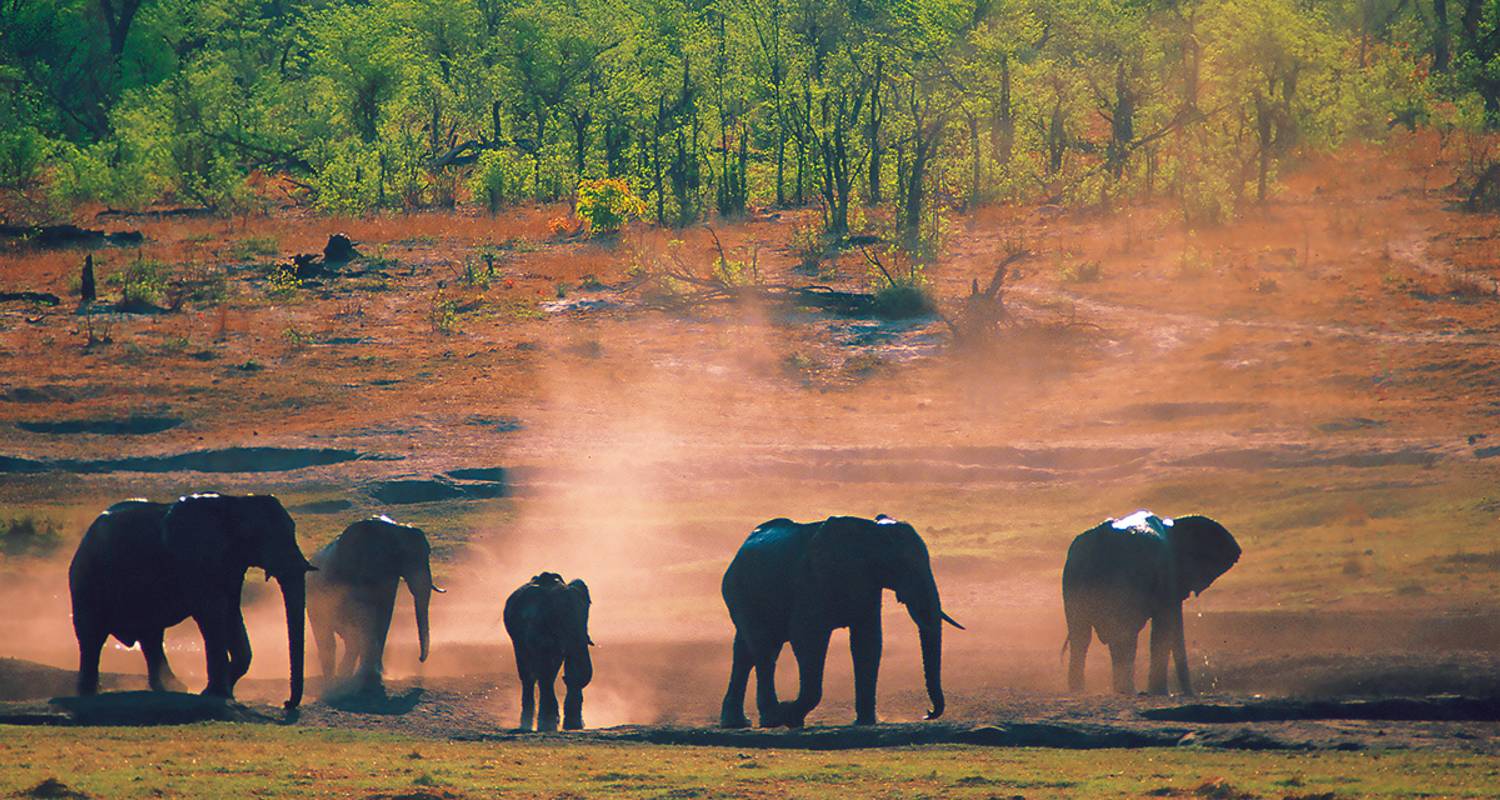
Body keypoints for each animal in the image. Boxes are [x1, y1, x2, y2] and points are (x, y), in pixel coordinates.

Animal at [69, 492, 315, 705]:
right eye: (258, 535)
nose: (286, 703)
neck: (234, 505)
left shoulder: (231, 566)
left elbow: (232, 612)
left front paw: (222, 689)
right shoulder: (194, 562)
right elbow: (212, 612)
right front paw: (216, 693)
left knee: (151, 637)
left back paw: (173, 688)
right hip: (85, 580)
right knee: (92, 636)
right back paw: (90, 692)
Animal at [306, 513, 441, 690]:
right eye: (400, 555)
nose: (419, 660)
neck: (392, 530)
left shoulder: (388, 579)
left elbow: (384, 616)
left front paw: (377, 675)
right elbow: (366, 616)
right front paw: (369, 676)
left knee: (350, 639)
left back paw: (344, 674)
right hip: (314, 600)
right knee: (327, 638)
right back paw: (332, 680)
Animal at [507, 570, 594, 732]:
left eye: (587, 606)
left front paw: (573, 725)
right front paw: (550, 723)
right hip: (519, 640)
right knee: (530, 674)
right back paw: (531, 723)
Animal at [714, 513, 960, 726]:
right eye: (901, 564)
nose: (927, 713)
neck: (869, 531)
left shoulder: (868, 584)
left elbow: (868, 642)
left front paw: (864, 723)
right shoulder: (811, 581)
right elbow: (807, 639)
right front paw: (789, 715)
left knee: (746, 653)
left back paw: (740, 722)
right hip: (740, 593)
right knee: (763, 650)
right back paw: (771, 719)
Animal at [1062, 510, 1248, 693]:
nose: (1190, 693)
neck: (1172, 524)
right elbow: (1163, 628)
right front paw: (1159, 692)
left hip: (1075, 581)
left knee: (1082, 636)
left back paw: (1082, 690)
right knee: (1123, 636)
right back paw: (1126, 690)